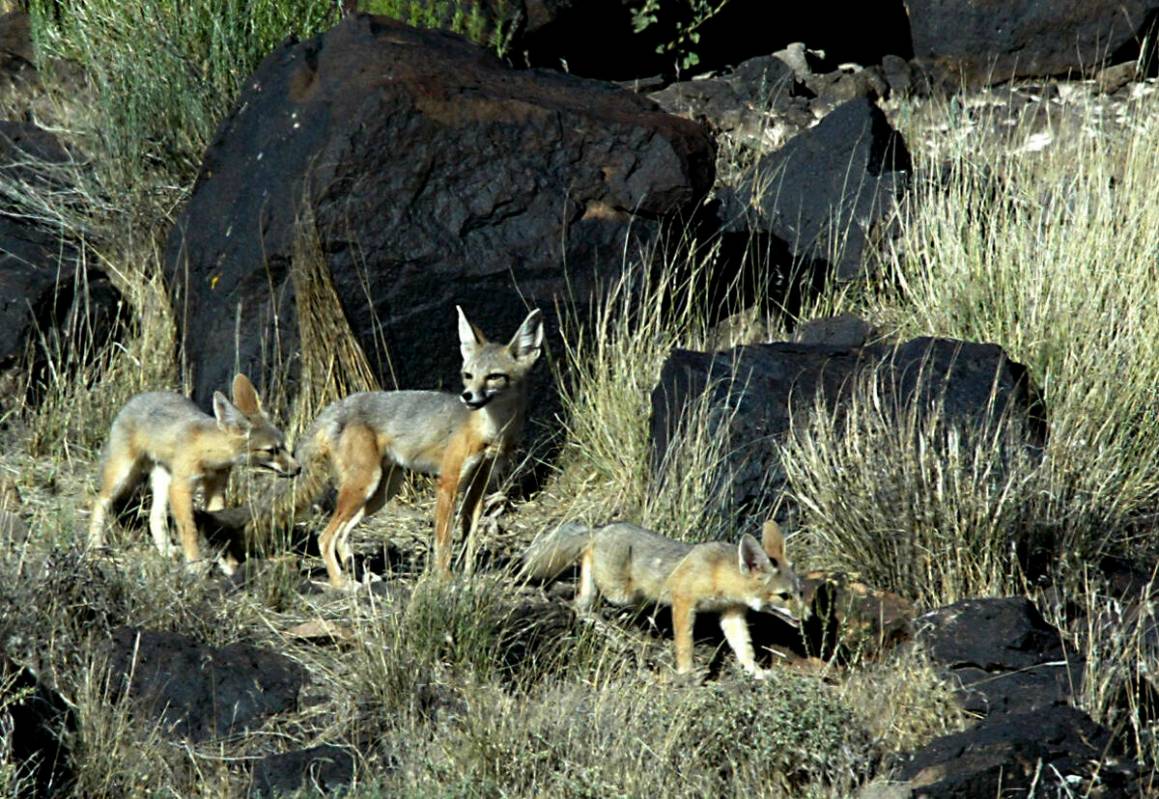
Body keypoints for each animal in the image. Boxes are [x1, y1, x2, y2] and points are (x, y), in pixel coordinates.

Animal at [88, 373, 301, 568]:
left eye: (283, 446)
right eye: (271, 451)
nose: (298, 468)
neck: (208, 455)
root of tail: (138, 397)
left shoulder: (216, 488)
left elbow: (218, 528)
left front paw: (228, 563)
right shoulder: (181, 488)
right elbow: (189, 530)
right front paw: (194, 563)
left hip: (164, 481)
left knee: (154, 517)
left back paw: (166, 550)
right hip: (123, 476)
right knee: (100, 501)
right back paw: (95, 544)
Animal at [235, 306, 547, 586]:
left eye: (494, 376)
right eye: (468, 375)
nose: (467, 396)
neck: (490, 431)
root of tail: (336, 406)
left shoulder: (479, 487)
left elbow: (469, 537)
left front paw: (469, 576)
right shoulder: (447, 483)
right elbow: (444, 540)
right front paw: (445, 579)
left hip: (381, 491)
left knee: (342, 536)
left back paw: (359, 576)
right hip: (365, 485)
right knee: (326, 537)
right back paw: (341, 583)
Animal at [523, 517, 806, 677]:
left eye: (799, 592)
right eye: (783, 596)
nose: (806, 616)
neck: (720, 573)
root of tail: (603, 528)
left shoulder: (731, 614)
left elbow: (743, 647)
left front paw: (755, 671)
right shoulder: (683, 600)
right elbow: (684, 644)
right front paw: (686, 672)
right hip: (620, 592)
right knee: (585, 569)